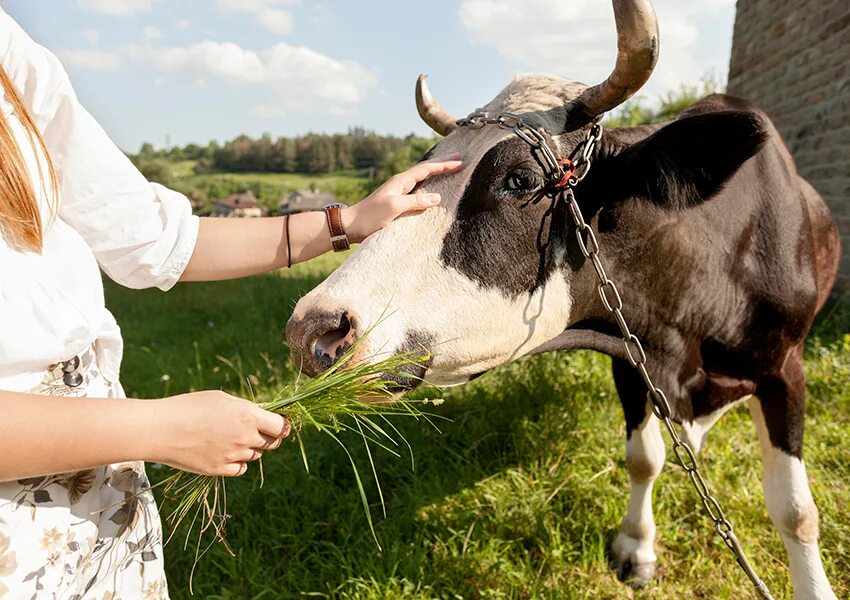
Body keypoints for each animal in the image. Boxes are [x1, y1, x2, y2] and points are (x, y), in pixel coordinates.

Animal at [284, 1, 836, 596]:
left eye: (520, 179)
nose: (315, 329)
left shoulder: (786, 368)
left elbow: (796, 511)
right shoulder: (632, 356)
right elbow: (644, 458)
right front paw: (636, 546)